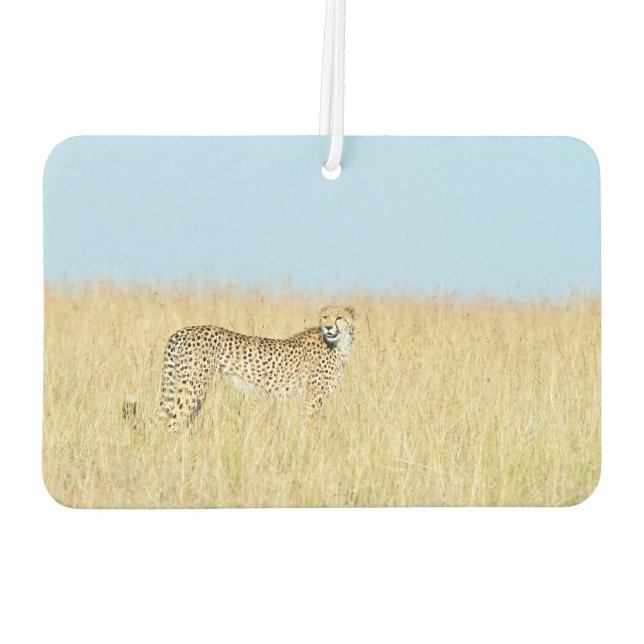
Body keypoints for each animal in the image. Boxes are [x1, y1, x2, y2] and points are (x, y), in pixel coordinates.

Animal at [123, 305, 356, 432]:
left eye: (339, 317)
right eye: (325, 317)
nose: (328, 327)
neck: (339, 344)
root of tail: (180, 331)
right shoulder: (313, 397)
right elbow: (309, 426)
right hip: (193, 387)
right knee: (172, 423)